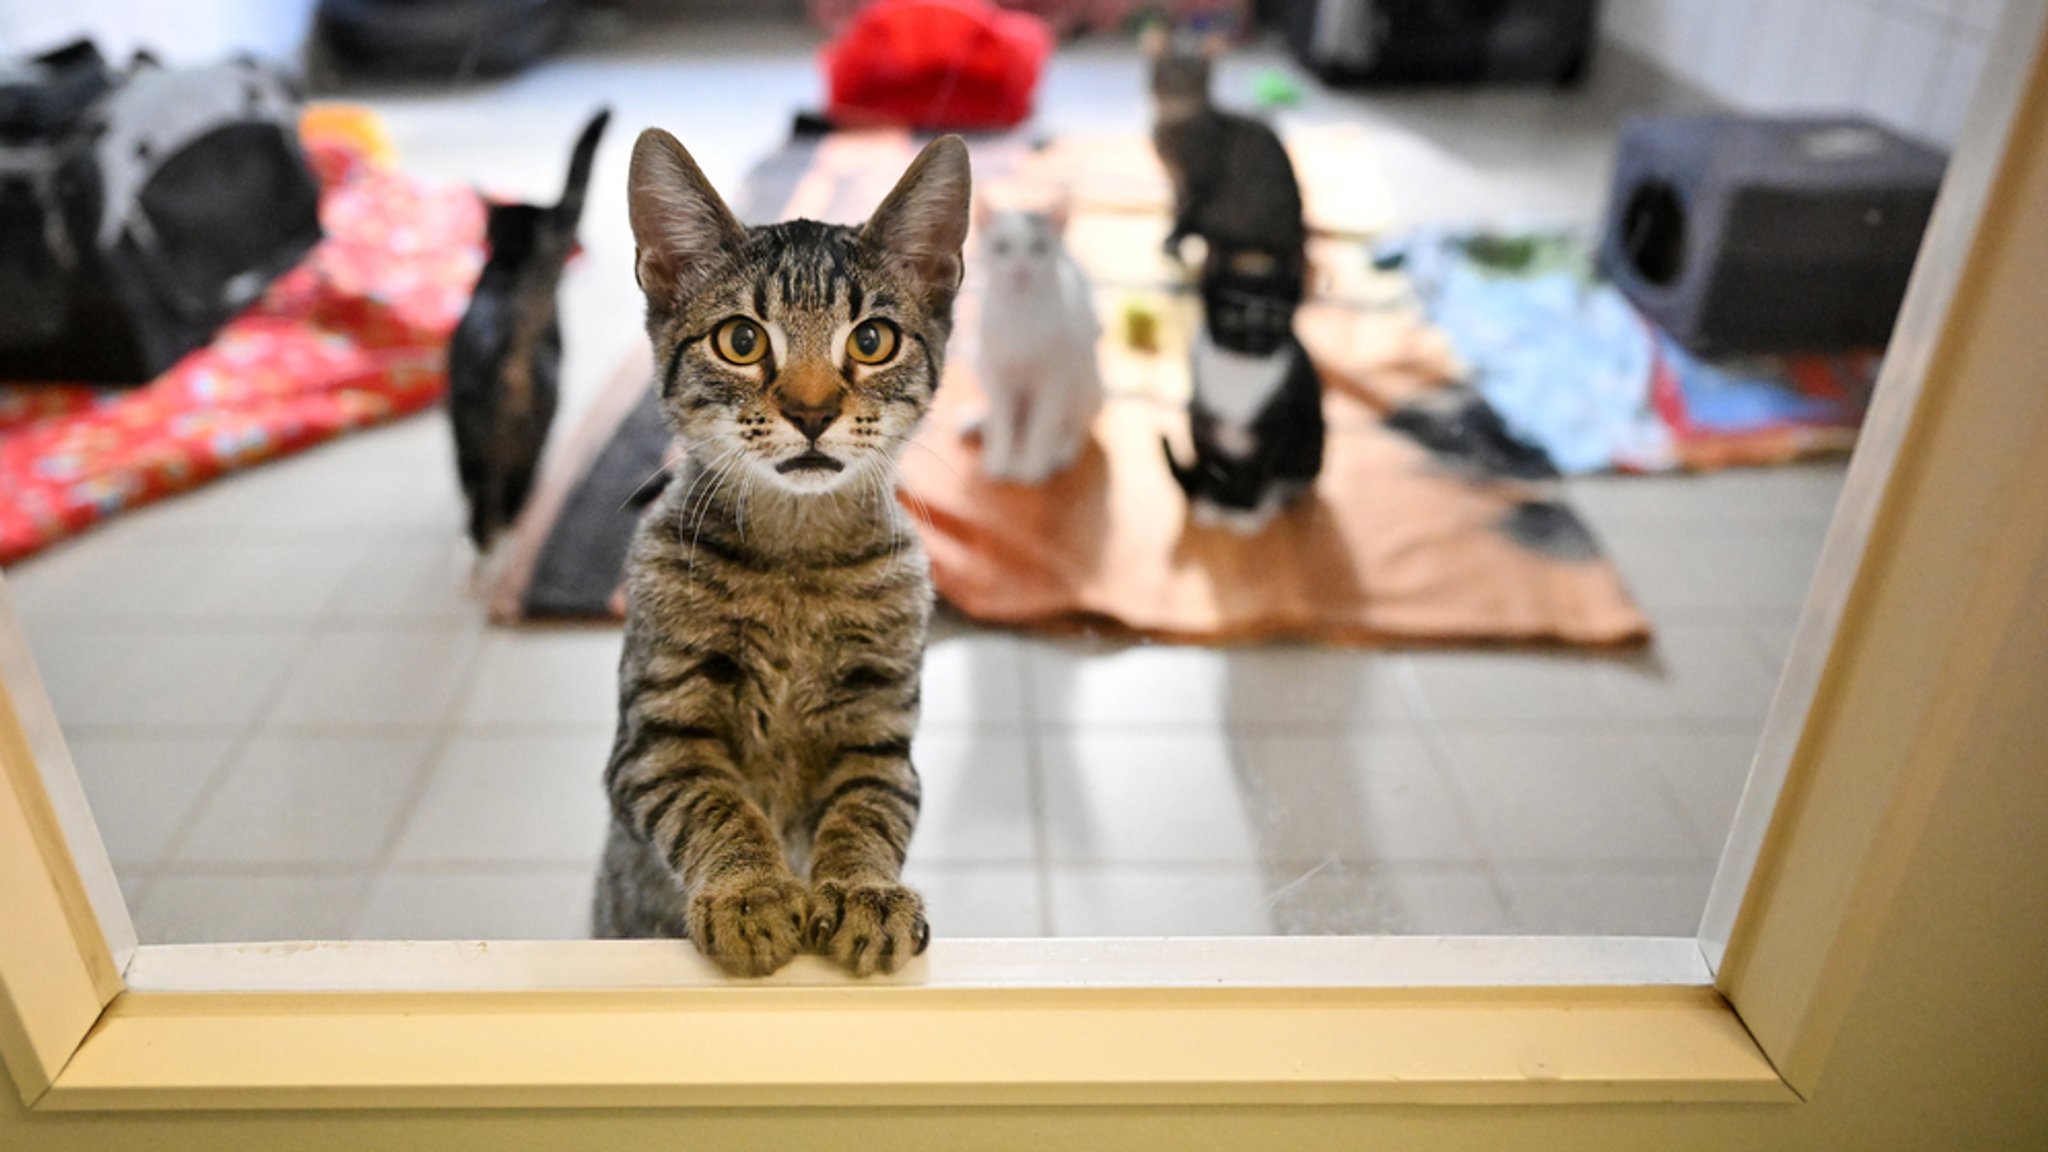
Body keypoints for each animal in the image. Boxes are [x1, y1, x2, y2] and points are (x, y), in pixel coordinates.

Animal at [593, 127, 974, 975]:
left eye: (872, 340)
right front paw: (750, 892)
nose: (810, 410)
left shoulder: (878, 733)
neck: (795, 562)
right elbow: (715, 803)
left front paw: (863, 891)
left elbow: (866, 813)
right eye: (741, 340)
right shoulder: (658, 733)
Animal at [970, 203, 1105, 481]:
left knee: (1075, 427)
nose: (1020, 271)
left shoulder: (1054, 379)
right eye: (1001, 248)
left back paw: (1060, 450)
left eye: (1039, 248)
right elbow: (1003, 421)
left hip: (1088, 387)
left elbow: (1042, 426)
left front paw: (1033, 467)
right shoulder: (995, 370)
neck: (1020, 314)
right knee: (1006, 419)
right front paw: (999, 459)